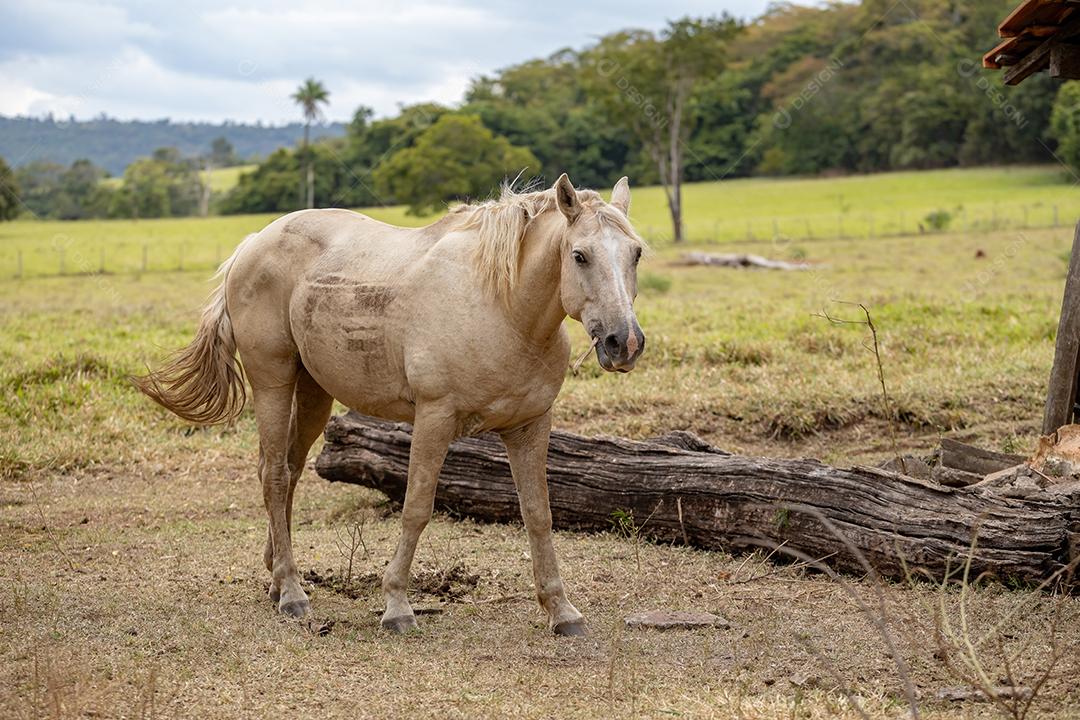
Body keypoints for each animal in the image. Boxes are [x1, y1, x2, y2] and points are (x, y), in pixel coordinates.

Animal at [135, 174, 646, 636]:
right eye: (579, 255)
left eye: (636, 253)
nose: (624, 343)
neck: (502, 307)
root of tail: (253, 242)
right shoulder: (435, 418)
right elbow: (416, 508)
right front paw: (397, 605)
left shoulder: (530, 426)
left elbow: (539, 515)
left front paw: (561, 611)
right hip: (272, 384)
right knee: (275, 477)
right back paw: (293, 593)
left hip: (314, 393)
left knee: (286, 471)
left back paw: (277, 579)